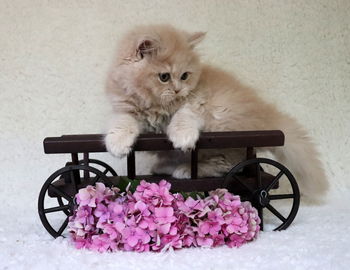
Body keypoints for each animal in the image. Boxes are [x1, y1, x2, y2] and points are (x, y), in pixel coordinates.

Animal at [104, 24, 328, 202]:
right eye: (164, 77)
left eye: (184, 76)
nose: (178, 89)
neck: (158, 106)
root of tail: (268, 116)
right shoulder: (125, 107)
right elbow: (121, 122)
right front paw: (117, 144)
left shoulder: (197, 101)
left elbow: (184, 116)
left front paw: (182, 137)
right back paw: (165, 166)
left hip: (224, 130)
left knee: (230, 166)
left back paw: (185, 169)